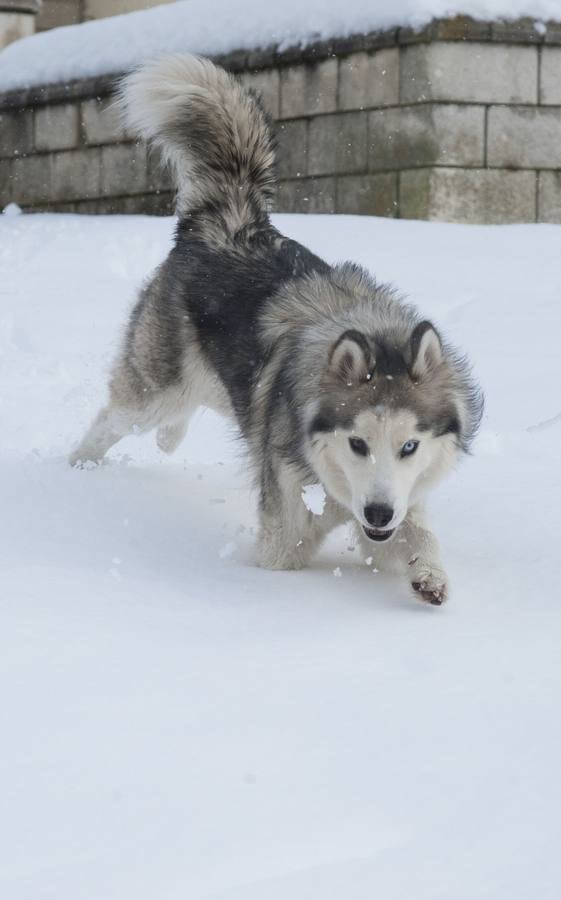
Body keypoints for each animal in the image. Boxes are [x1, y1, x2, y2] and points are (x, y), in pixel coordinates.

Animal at [70, 54, 482, 604]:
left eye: (409, 447)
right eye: (358, 444)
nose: (376, 513)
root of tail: (229, 218)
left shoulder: (401, 499)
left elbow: (418, 534)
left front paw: (429, 576)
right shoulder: (283, 518)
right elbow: (292, 541)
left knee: (191, 408)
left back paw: (168, 440)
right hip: (156, 388)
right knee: (115, 417)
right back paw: (77, 467)